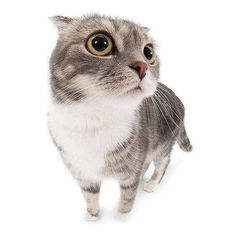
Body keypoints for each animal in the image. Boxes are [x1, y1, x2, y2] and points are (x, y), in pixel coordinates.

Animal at [47, 14, 192, 220]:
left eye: (148, 52)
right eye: (100, 44)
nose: (143, 66)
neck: (93, 117)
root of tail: (178, 98)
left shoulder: (131, 170)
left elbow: (127, 196)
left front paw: (123, 217)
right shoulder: (82, 171)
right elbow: (90, 195)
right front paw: (92, 215)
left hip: (164, 143)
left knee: (163, 162)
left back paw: (151, 183)